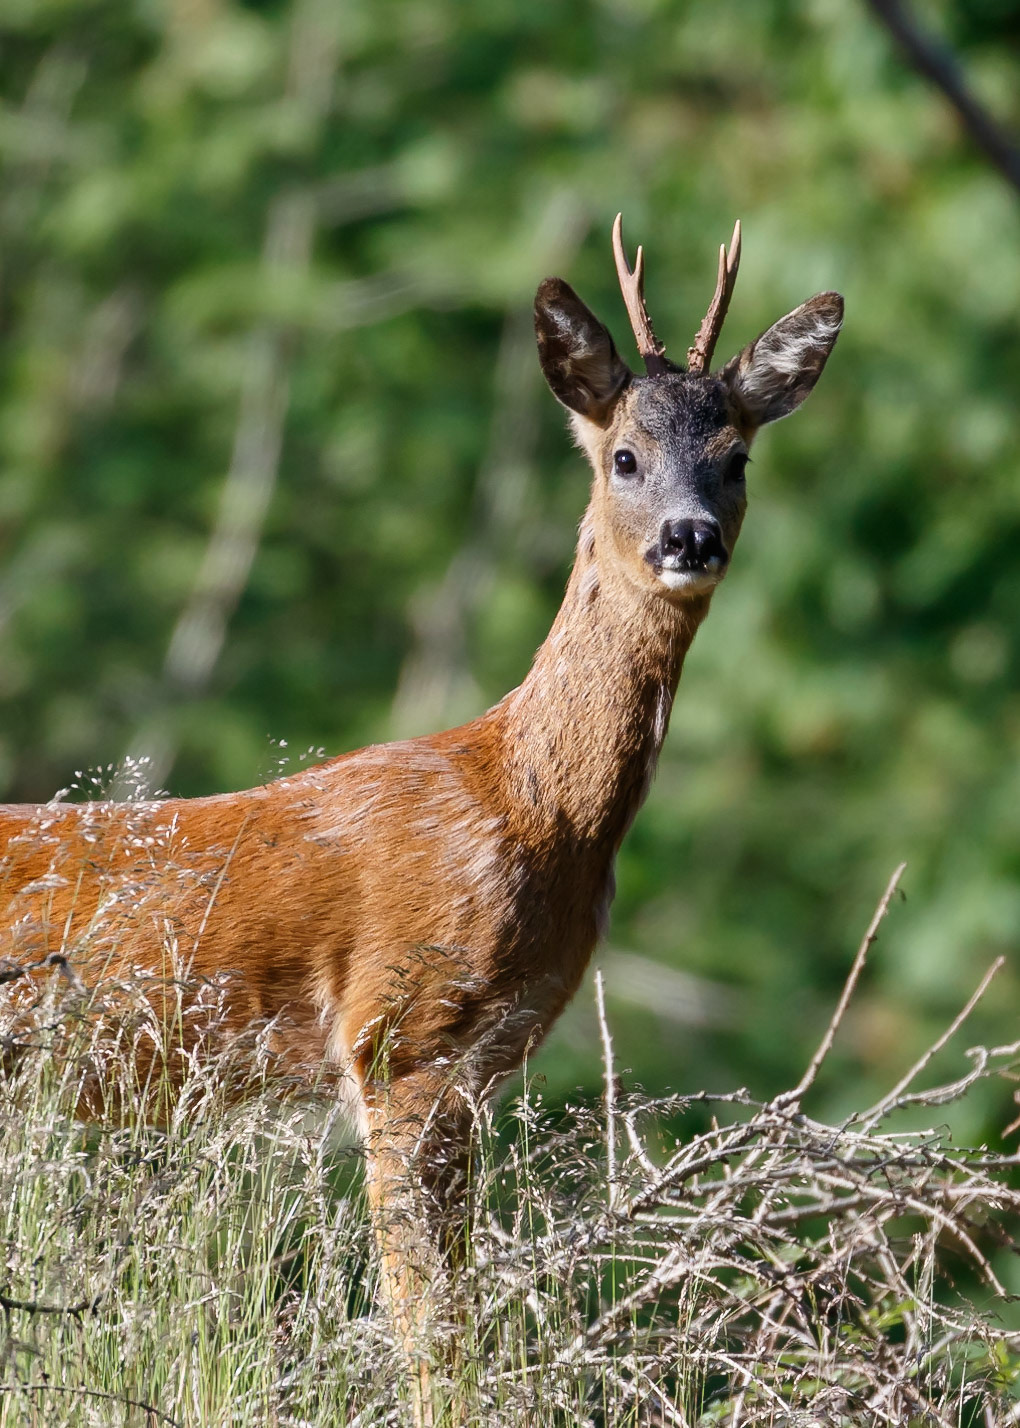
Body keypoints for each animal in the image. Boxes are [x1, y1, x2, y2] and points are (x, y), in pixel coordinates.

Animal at [0, 215, 842, 1420]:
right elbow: (428, 1324)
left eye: (737, 458)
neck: (531, 810)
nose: (690, 537)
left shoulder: (482, 1061)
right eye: (624, 457)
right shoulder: (404, 1034)